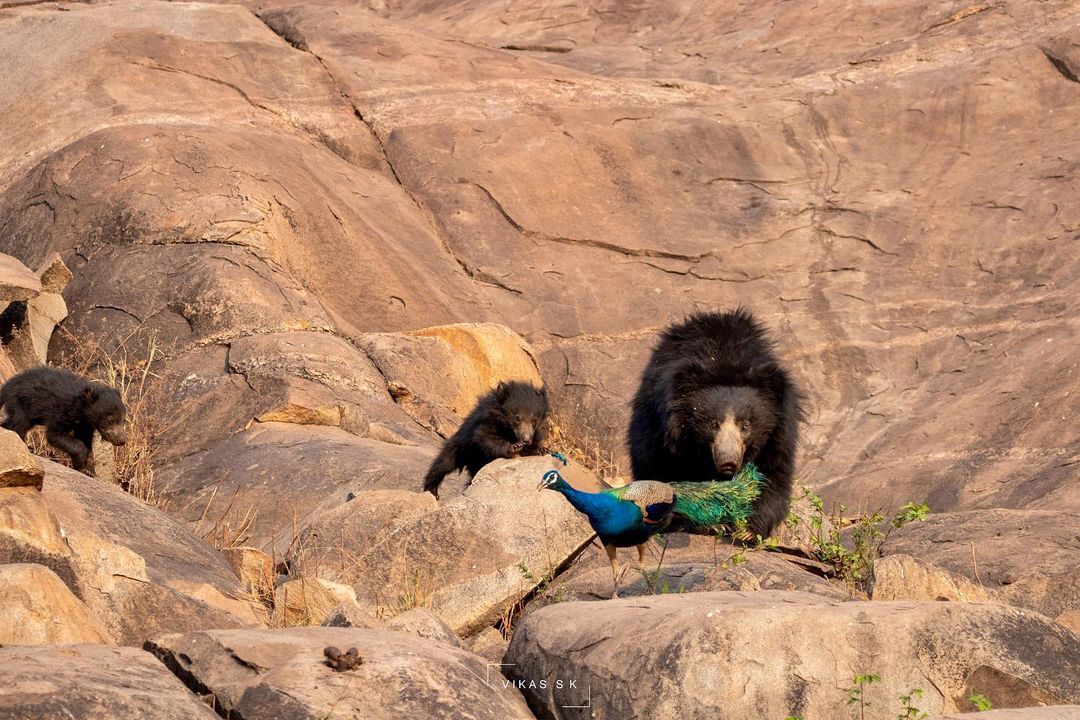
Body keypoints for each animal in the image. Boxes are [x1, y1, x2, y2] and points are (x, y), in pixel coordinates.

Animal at [0, 367, 128, 472]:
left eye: (123, 420)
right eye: (110, 420)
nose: (122, 440)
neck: (81, 411)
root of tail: (7, 385)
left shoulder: (85, 424)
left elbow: (84, 438)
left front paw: (84, 468)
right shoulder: (61, 411)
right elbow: (55, 434)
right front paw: (81, 461)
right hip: (20, 401)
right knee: (18, 423)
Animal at [419, 382, 548, 496]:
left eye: (534, 421)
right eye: (517, 419)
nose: (526, 439)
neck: (508, 430)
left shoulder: (536, 432)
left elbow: (536, 441)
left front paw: (541, 450)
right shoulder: (486, 422)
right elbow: (485, 438)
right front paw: (514, 447)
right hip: (460, 447)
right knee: (443, 463)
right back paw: (432, 490)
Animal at [626, 306, 803, 537]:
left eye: (745, 426)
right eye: (713, 424)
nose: (728, 462)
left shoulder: (779, 434)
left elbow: (772, 476)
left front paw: (748, 530)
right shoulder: (661, 432)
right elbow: (663, 474)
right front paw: (709, 524)